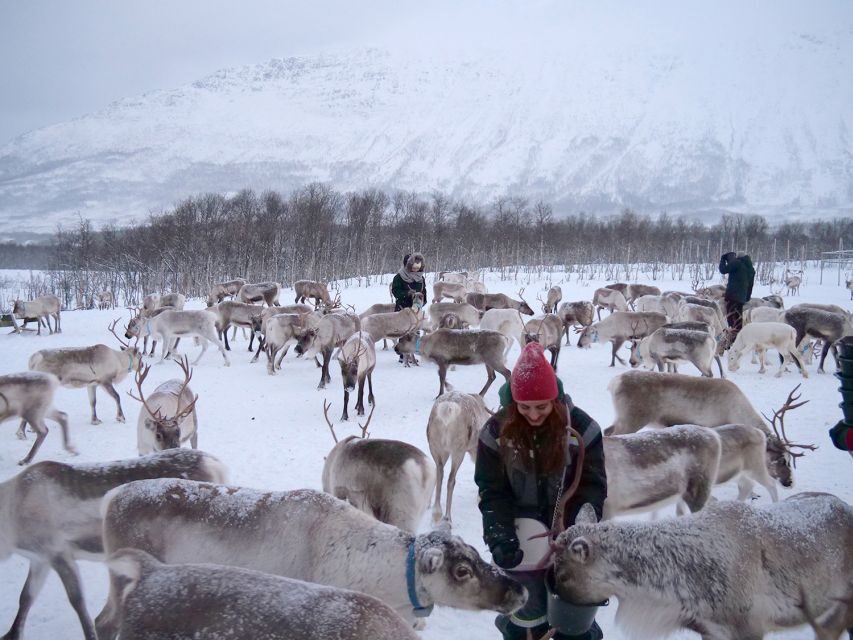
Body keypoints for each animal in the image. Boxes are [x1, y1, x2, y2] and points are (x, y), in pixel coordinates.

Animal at [0, 449, 227, 640]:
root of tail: (215, 464)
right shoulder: (39, 558)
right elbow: (26, 596)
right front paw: (11, 634)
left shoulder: (58, 553)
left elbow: (77, 601)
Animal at [426, 392, 492, 524]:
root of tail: (447, 410)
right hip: (458, 449)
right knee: (451, 479)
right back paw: (447, 517)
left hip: (436, 446)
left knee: (439, 472)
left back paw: (436, 513)